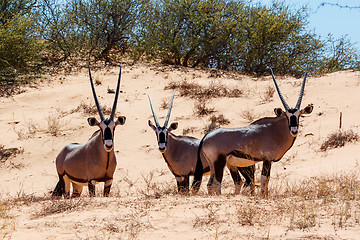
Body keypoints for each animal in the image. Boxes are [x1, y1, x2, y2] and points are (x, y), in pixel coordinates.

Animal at [51, 65, 126, 197]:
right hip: (64, 179)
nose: (108, 145)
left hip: (77, 185)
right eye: (100, 128)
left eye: (114, 127)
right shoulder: (91, 180)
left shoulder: (109, 180)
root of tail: (62, 152)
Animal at [193, 68, 314, 196]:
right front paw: (263, 196)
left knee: (210, 184)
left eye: (299, 115)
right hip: (219, 163)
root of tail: (205, 137)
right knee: (217, 184)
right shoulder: (267, 159)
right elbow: (264, 180)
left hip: (213, 165)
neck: (275, 130)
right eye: (287, 116)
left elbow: (266, 181)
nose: (294, 130)